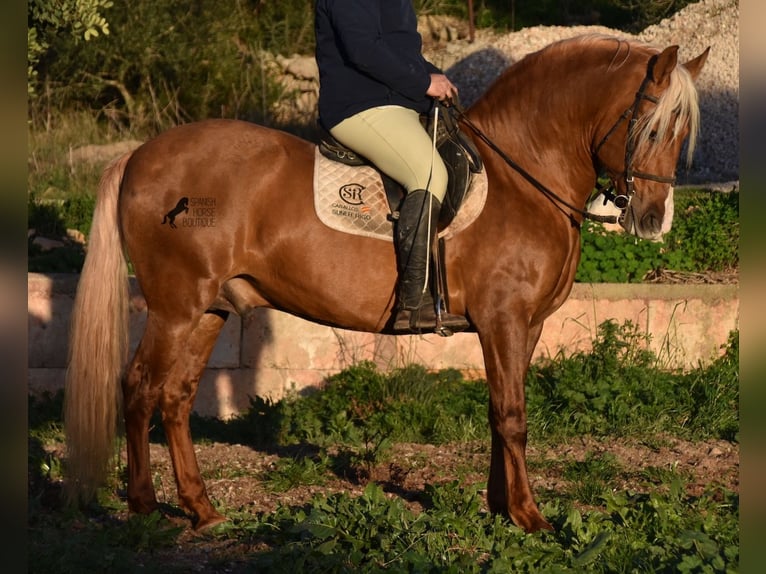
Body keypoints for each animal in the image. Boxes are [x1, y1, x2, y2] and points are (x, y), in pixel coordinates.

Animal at [63, 33, 712, 532]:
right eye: (651, 127)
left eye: (682, 134)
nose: (654, 221)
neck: (523, 174)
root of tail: (138, 157)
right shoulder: (503, 321)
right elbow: (512, 416)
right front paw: (530, 517)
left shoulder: (522, 327)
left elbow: (500, 412)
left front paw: (500, 506)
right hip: (175, 306)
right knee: (139, 388)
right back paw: (145, 508)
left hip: (209, 309)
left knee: (174, 398)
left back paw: (202, 511)